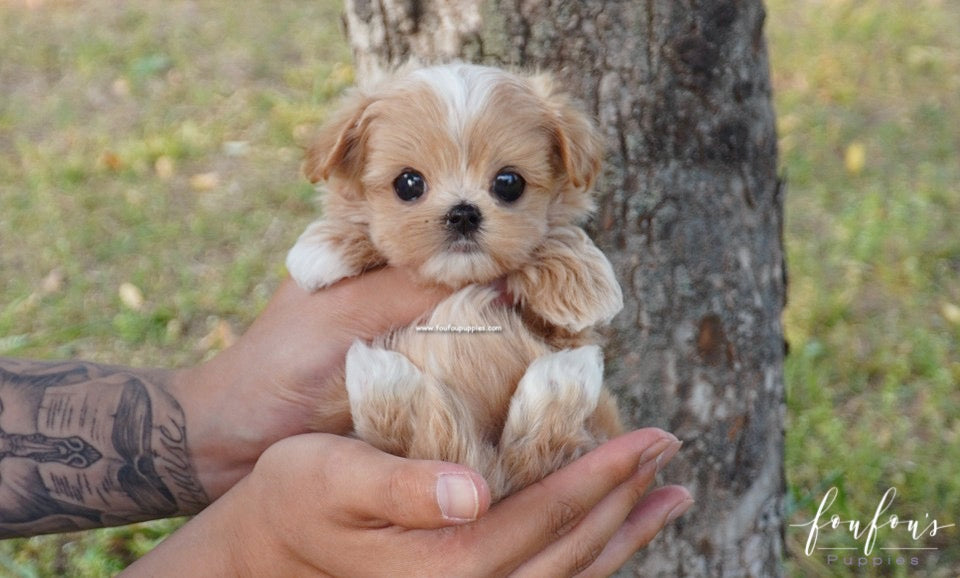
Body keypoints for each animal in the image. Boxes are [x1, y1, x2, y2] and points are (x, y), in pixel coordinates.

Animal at [288, 62, 628, 496]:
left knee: (533, 458)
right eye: (408, 184)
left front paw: (581, 279)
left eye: (509, 183)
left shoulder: (566, 335)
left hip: (595, 426)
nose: (463, 212)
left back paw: (563, 379)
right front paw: (327, 246)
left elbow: (556, 240)